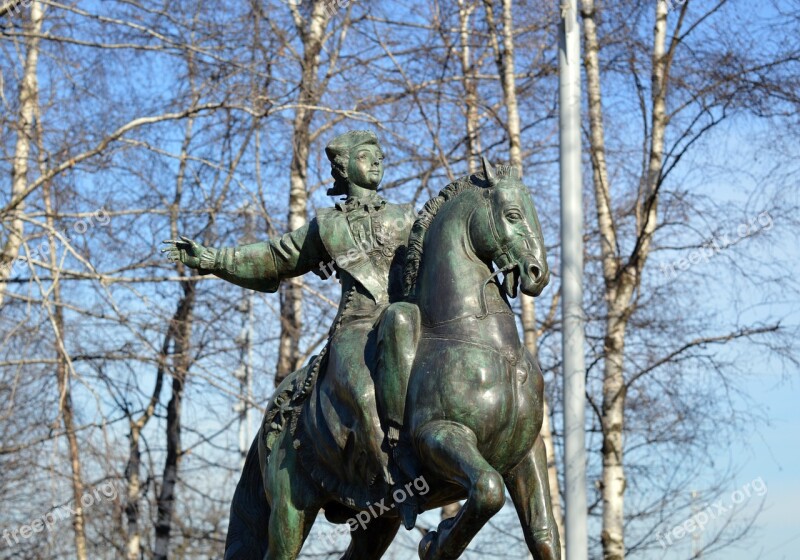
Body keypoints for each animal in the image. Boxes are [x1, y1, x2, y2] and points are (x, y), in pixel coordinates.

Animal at [222, 158, 560, 560]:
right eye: (512, 214)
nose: (538, 274)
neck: (491, 347)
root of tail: (274, 413)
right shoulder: (439, 437)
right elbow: (488, 490)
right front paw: (436, 542)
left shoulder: (526, 453)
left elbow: (543, 532)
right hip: (291, 509)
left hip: (377, 520)